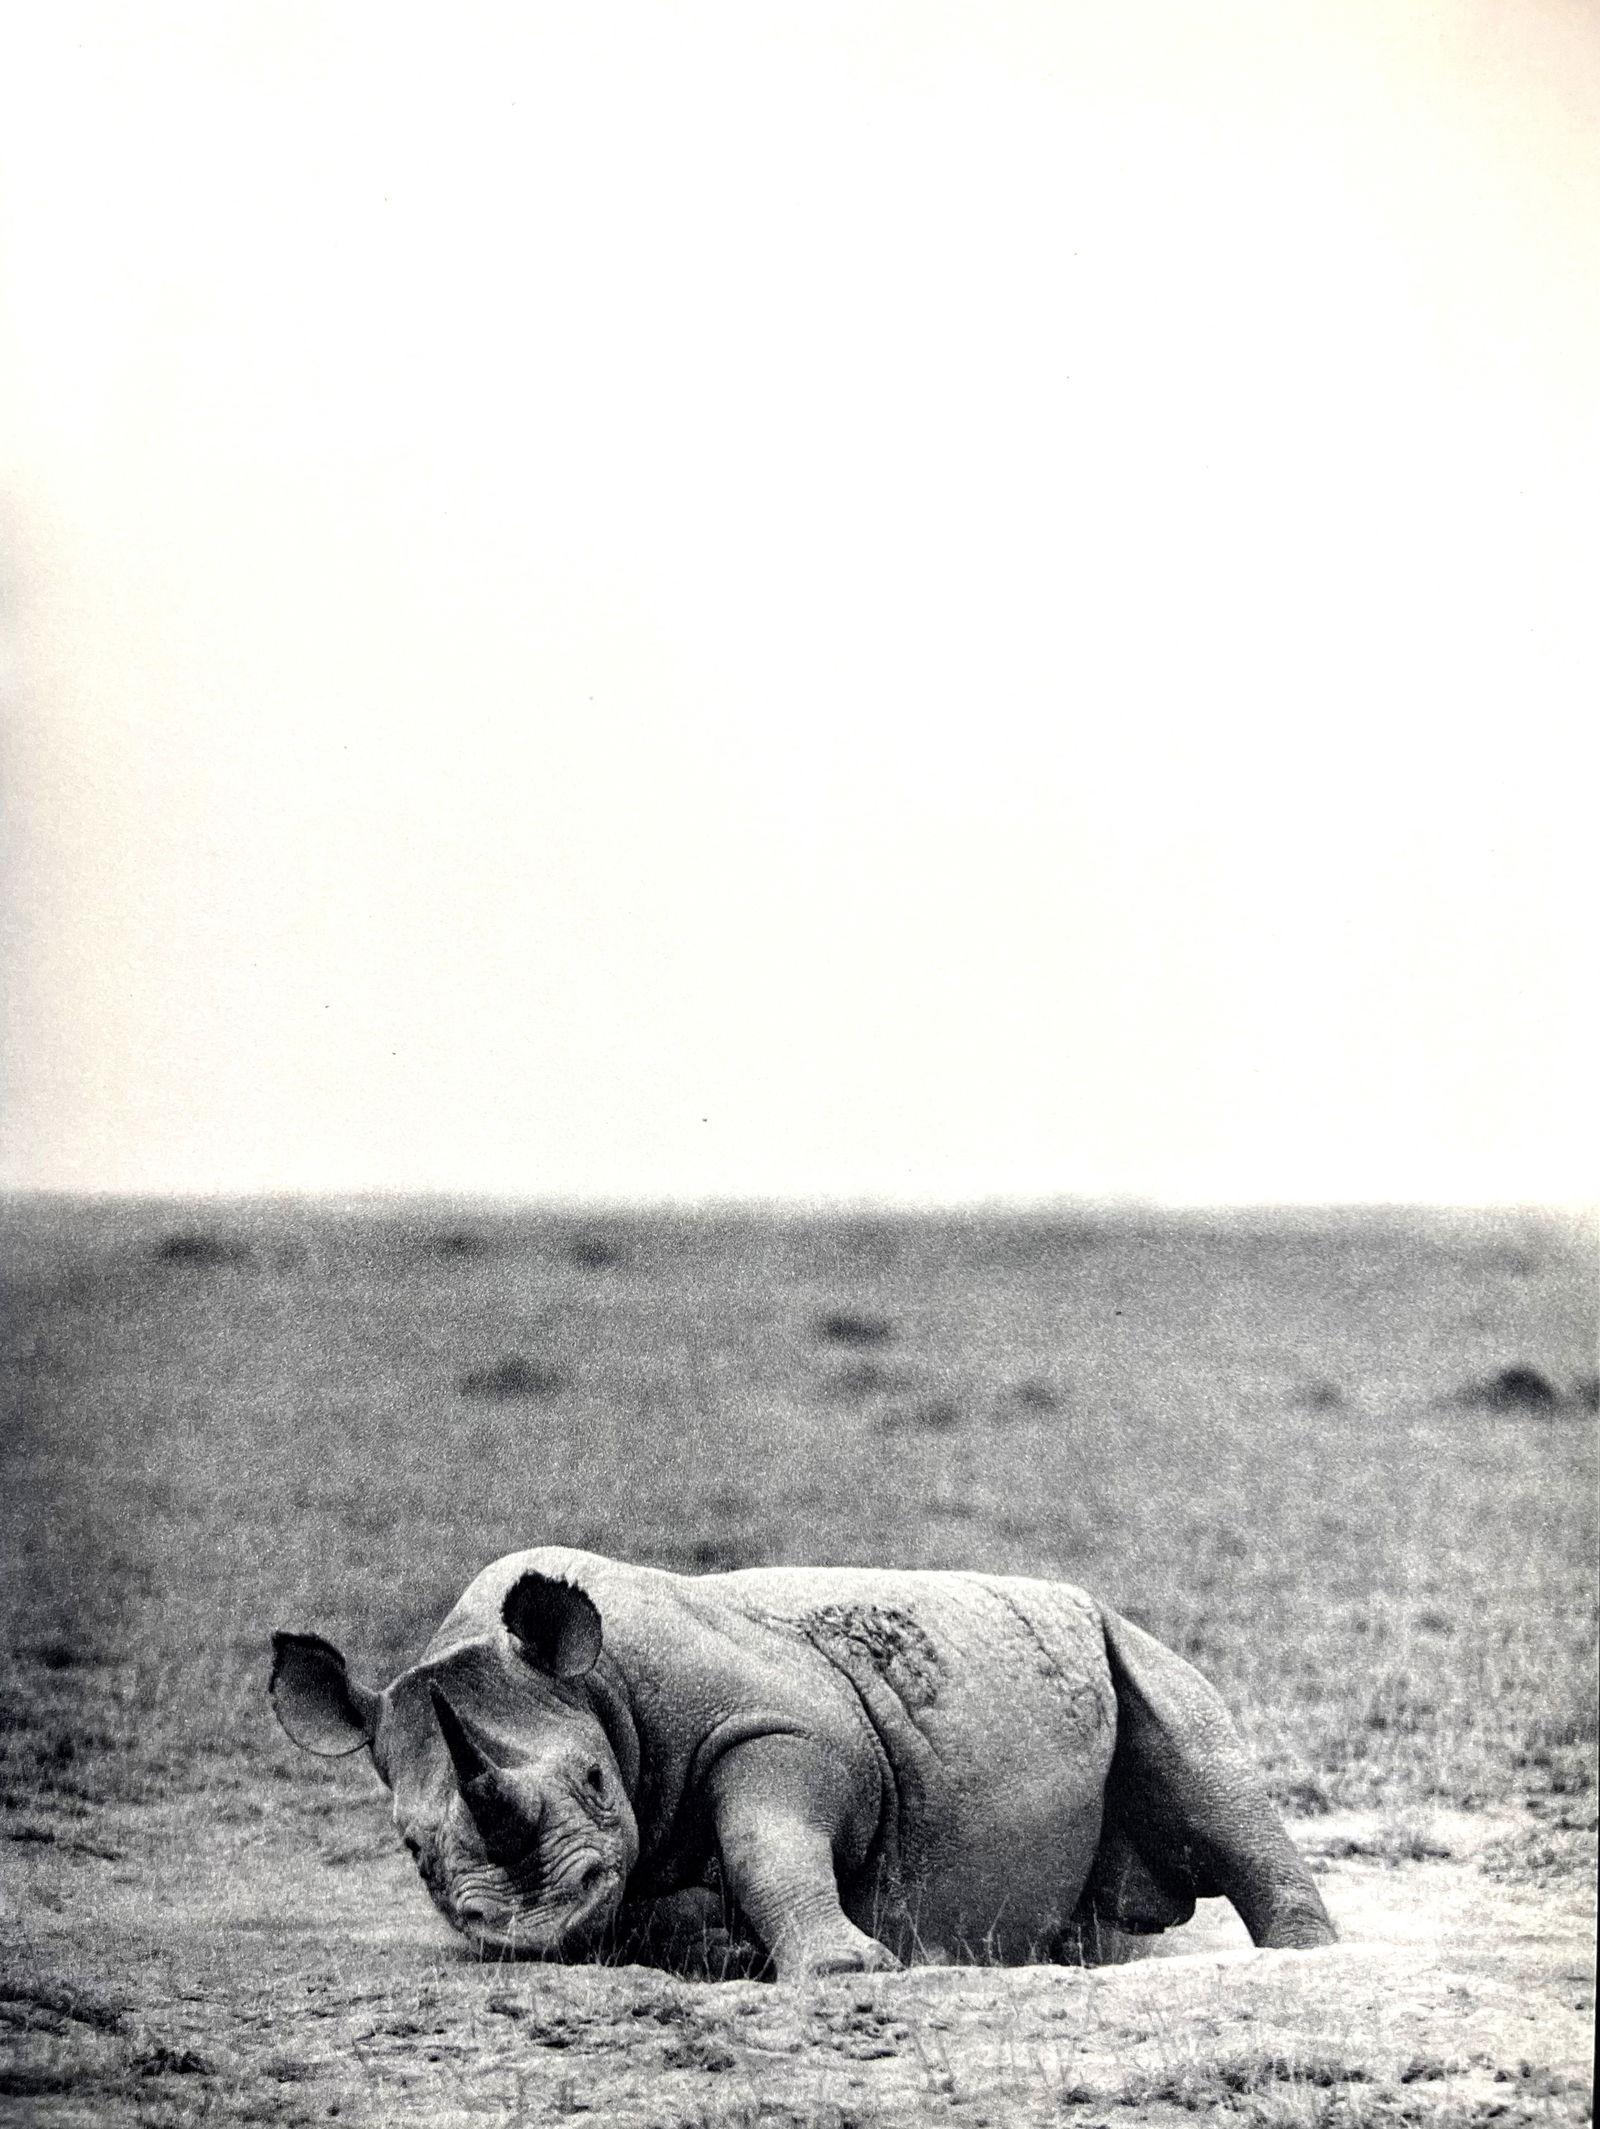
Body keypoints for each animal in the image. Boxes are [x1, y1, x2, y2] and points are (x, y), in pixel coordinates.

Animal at [270, 1548, 1334, 1979]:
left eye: (592, 1783)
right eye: (413, 1853)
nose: (535, 1927)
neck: (602, 1689)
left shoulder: (783, 1729)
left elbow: (769, 1841)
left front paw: (843, 1968)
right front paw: (719, 1947)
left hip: (1126, 1638)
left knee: (1203, 1761)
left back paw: (1299, 1956)